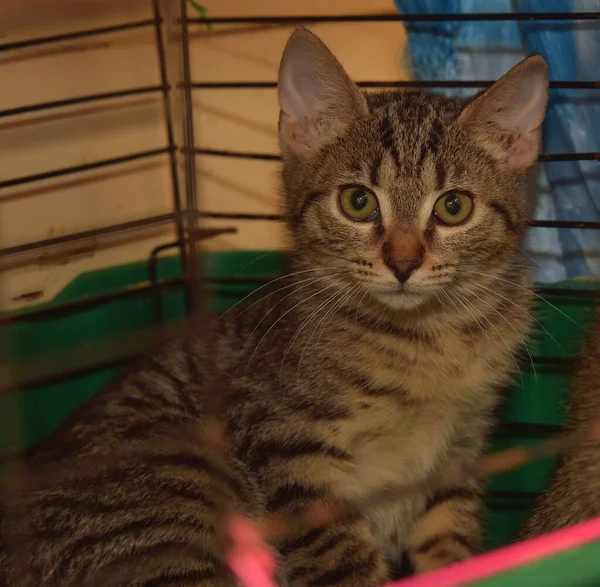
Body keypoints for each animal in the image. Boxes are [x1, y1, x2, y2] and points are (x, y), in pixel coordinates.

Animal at [1, 31, 548, 587]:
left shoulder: (460, 451)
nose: (402, 263)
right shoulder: (288, 443)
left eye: (454, 207)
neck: (429, 338)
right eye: (357, 202)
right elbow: (340, 558)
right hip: (172, 492)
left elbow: (449, 540)